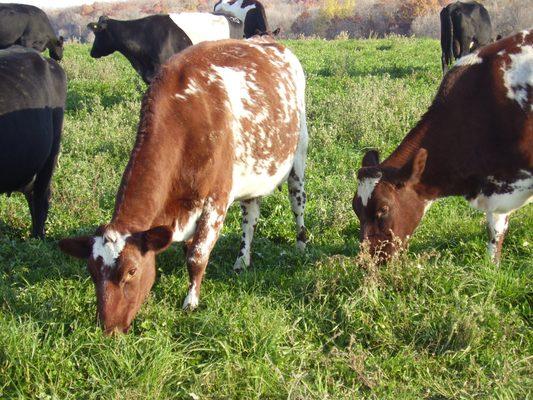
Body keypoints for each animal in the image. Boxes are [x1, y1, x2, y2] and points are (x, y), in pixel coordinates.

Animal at [59, 36, 308, 334]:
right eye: (92, 271)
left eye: (131, 271)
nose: (109, 329)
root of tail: (269, 39)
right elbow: (189, 249)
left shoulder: (216, 200)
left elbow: (197, 256)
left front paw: (191, 301)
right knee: (250, 218)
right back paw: (241, 261)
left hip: (299, 156)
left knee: (297, 202)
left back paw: (301, 244)